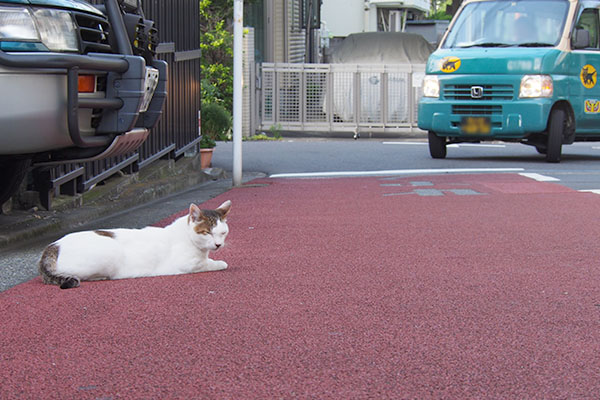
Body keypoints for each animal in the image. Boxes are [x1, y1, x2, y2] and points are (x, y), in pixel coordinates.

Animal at [37, 199, 230, 288]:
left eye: (223, 233)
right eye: (207, 233)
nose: (218, 245)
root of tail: (52, 246)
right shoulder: (187, 264)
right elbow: (211, 264)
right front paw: (220, 263)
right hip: (109, 253)